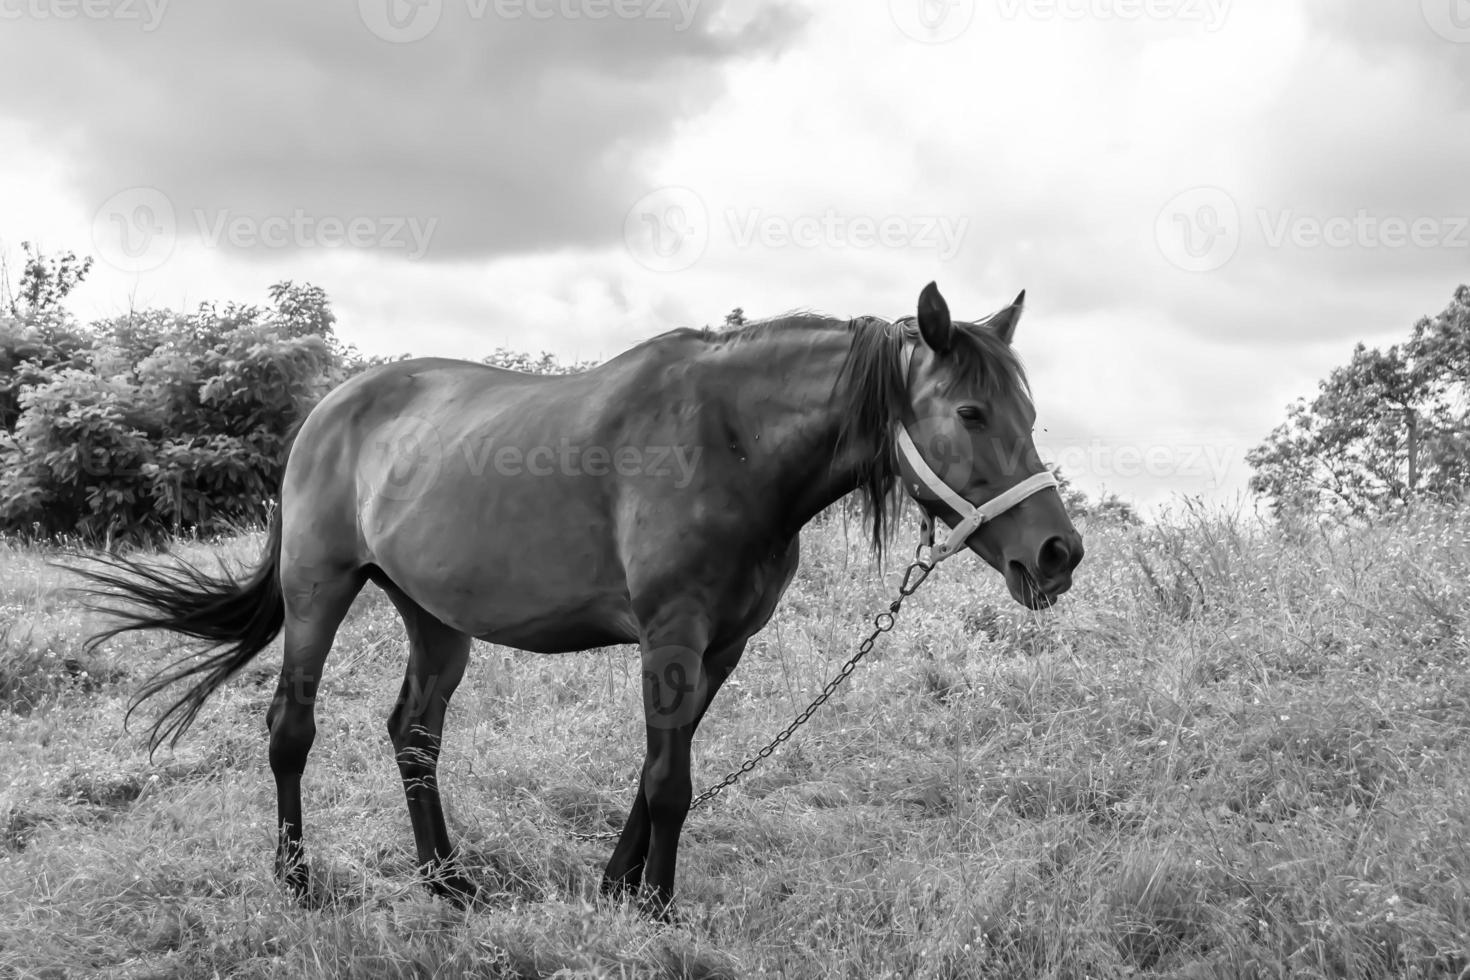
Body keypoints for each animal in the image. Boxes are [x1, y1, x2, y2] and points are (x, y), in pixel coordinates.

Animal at [83, 279, 1081, 916]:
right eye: (970, 413)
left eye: (1030, 413)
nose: (1058, 552)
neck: (730, 441)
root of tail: (329, 409)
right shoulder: (672, 635)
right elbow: (673, 782)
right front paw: (660, 913)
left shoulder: (719, 647)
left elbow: (657, 771)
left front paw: (618, 890)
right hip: (318, 593)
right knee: (291, 730)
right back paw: (296, 882)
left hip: (435, 619)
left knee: (414, 734)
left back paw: (447, 882)